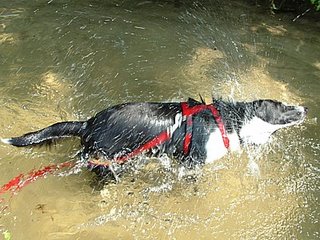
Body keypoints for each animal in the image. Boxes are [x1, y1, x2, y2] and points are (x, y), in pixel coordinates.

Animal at [0, 98, 308, 175]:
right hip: (108, 162)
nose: (305, 107)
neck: (231, 123)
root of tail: (88, 124)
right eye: (284, 106)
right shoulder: (192, 163)